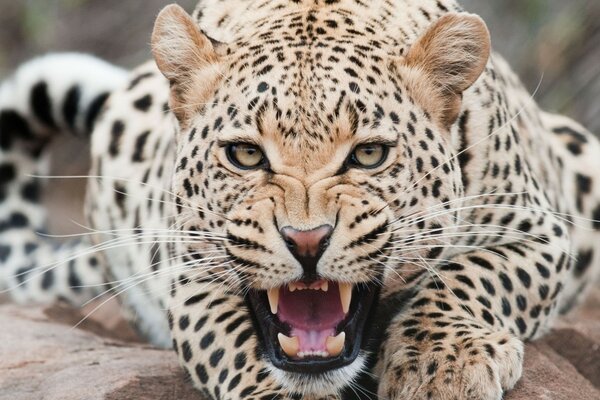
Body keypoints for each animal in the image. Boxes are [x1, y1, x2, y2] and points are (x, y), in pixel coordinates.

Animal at [1, 1, 599, 399]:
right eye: (245, 155)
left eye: (369, 155)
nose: (306, 241)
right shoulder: (187, 270)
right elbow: (231, 345)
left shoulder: (539, 230)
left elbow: (472, 276)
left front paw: (441, 365)